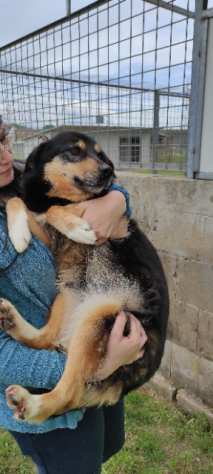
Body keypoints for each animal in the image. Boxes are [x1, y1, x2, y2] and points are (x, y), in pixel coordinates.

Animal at [0, 131, 170, 424]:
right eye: (75, 151)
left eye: (100, 154)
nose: (108, 171)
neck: (60, 197)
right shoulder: (46, 234)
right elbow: (19, 202)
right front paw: (19, 233)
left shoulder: (110, 222)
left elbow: (56, 212)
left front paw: (77, 228)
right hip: (69, 296)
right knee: (46, 339)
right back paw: (10, 320)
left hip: (97, 314)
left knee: (70, 392)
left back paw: (31, 404)